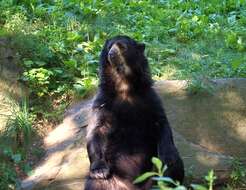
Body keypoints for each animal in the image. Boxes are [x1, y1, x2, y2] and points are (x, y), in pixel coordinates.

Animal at [85, 36, 184, 190]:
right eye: (109, 47)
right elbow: (97, 129)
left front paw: (168, 157)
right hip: (113, 176)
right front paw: (99, 170)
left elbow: (161, 124)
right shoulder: (103, 102)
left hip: (154, 174)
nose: (111, 54)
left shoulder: (149, 98)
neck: (124, 86)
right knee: (97, 183)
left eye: (122, 47)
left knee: (173, 171)